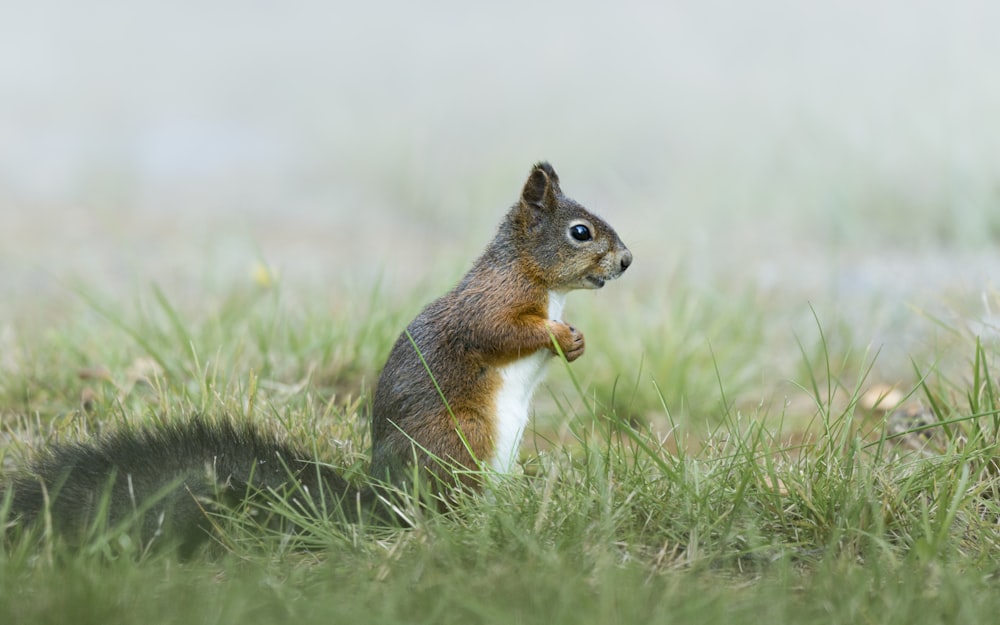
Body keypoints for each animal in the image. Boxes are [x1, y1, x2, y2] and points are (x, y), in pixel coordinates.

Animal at [3, 161, 632, 552]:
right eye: (580, 232)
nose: (626, 261)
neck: (536, 278)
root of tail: (384, 502)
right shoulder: (491, 304)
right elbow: (503, 333)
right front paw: (562, 336)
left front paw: (577, 342)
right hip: (463, 436)